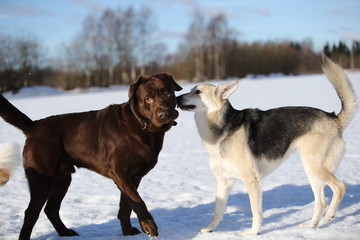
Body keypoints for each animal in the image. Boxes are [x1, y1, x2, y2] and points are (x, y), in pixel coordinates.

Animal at [0, 73, 180, 240]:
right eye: (148, 98)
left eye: (168, 93)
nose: (164, 114)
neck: (143, 128)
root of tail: (35, 125)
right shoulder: (119, 172)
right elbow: (137, 201)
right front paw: (149, 226)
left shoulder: (133, 177)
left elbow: (126, 206)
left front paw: (128, 231)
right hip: (42, 178)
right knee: (31, 212)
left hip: (62, 179)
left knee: (51, 209)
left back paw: (65, 232)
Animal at [177, 56, 358, 236]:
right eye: (191, 90)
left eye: (198, 92)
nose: (177, 98)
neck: (223, 129)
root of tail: (333, 118)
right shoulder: (224, 180)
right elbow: (218, 210)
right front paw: (210, 228)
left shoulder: (251, 180)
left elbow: (255, 211)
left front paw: (253, 233)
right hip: (312, 172)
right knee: (321, 202)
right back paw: (311, 227)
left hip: (315, 168)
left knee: (340, 187)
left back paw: (331, 214)